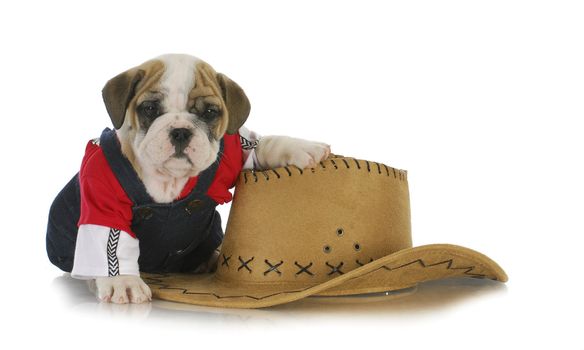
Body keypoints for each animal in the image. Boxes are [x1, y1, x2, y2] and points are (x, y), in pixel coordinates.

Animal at [45, 53, 328, 302]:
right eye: (150, 108)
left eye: (210, 112)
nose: (180, 131)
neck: (170, 179)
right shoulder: (103, 195)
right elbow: (110, 238)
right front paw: (122, 281)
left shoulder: (234, 151)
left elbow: (260, 146)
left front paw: (299, 148)